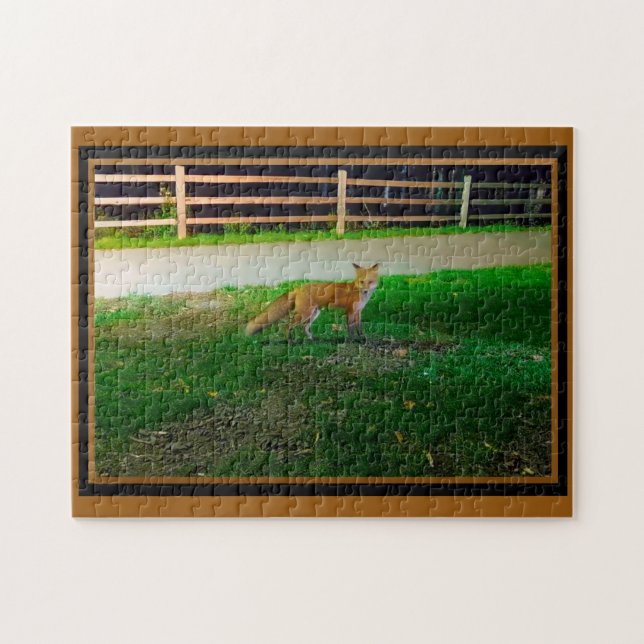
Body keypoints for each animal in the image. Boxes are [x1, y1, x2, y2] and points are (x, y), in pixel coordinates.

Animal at [245, 263, 380, 340]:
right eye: (362, 282)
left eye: (370, 282)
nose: (365, 291)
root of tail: (298, 288)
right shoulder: (350, 311)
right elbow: (351, 328)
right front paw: (352, 341)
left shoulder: (358, 312)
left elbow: (359, 327)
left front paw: (362, 338)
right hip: (305, 314)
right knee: (287, 325)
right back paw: (290, 341)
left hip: (314, 314)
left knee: (304, 328)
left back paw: (311, 339)